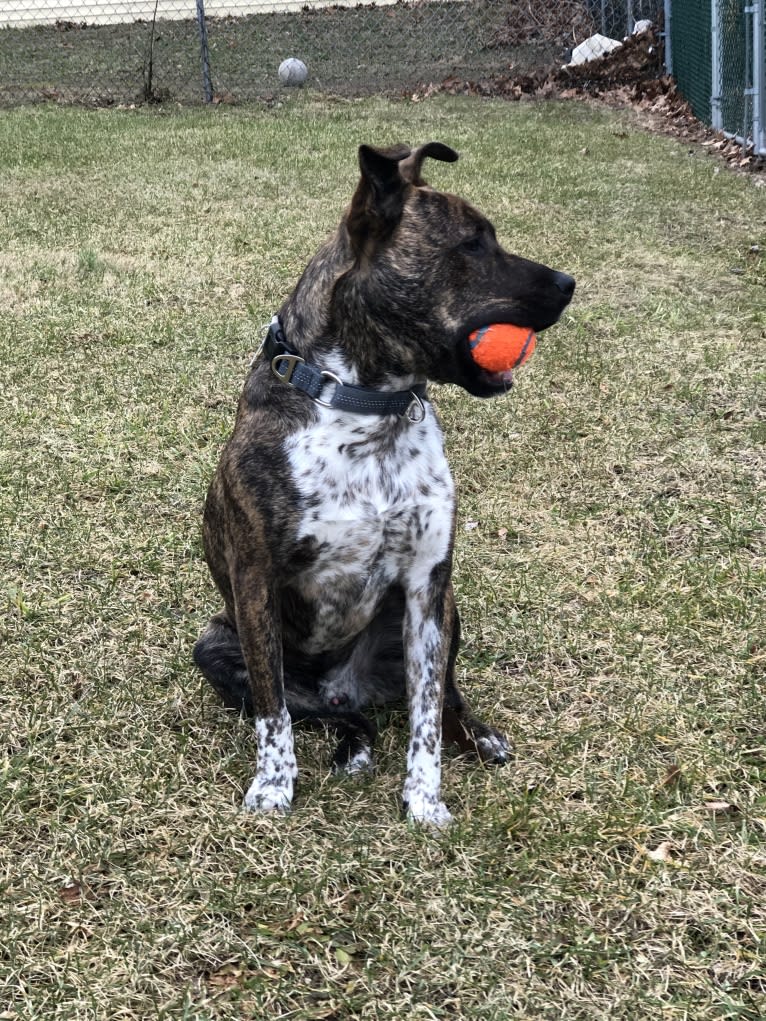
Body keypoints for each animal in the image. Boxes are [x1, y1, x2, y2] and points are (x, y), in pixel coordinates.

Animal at [193, 143, 576, 824]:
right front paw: (273, 786)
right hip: (216, 643)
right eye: (472, 244)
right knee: (317, 713)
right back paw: (350, 742)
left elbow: (426, 715)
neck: (367, 406)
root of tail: (345, 690)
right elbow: (274, 712)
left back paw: (476, 736)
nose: (568, 284)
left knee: (442, 699)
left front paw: (425, 802)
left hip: (447, 612)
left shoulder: (427, 587)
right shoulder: (256, 582)